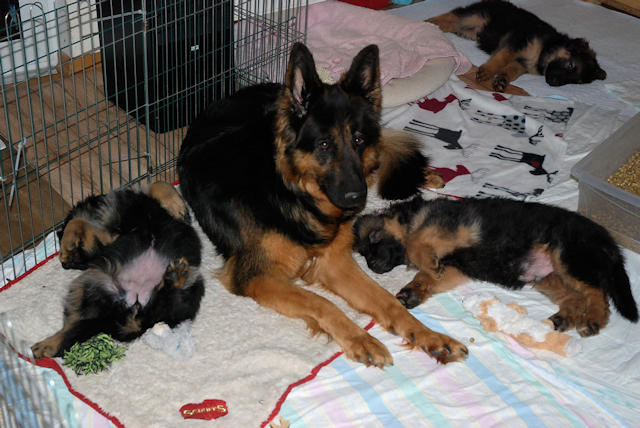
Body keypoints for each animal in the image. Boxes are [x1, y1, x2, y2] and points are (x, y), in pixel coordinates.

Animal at [31, 183, 205, 358]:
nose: (66, 264)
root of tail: (132, 308)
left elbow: (158, 184)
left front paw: (177, 207)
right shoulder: (100, 246)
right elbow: (76, 222)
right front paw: (67, 247)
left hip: (194, 285)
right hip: (90, 285)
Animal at [177, 43, 467, 367]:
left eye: (358, 140)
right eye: (324, 145)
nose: (356, 200)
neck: (290, 192)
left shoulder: (334, 261)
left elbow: (387, 301)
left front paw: (429, 336)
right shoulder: (257, 277)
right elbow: (321, 302)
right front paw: (361, 338)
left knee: (384, 152)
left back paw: (426, 174)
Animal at [354, 196, 638, 337]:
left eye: (374, 238)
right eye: (363, 254)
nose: (373, 266)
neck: (412, 217)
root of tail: (609, 241)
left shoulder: (449, 230)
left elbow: (416, 243)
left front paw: (426, 266)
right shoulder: (456, 269)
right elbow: (428, 276)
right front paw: (412, 291)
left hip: (568, 256)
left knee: (596, 292)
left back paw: (594, 319)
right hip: (548, 277)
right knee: (576, 297)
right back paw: (564, 318)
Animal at [427, 0, 606, 91]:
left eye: (577, 82)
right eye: (570, 66)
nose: (552, 82)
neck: (546, 49)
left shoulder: (521, 63)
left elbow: (512, 70)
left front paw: (502, 80)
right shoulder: (517, 41)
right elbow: (502, 58)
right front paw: (488, 71)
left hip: (468, 30)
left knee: (451, 23)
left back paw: (434, 26)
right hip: (475, 16)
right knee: (453, 14)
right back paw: (430, 22)